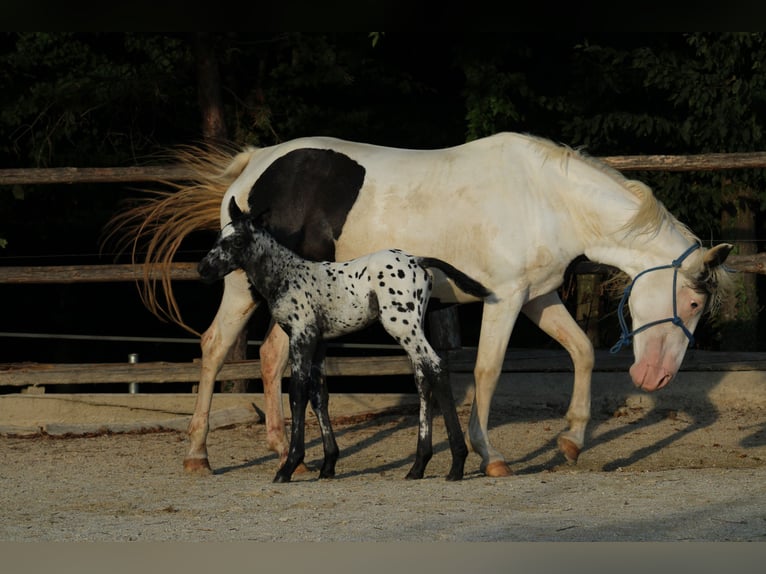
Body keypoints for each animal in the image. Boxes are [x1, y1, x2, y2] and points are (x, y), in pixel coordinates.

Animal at [198, 197, 495, 482]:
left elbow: (297, 393)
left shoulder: (302, 337)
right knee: (423, 379)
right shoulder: (320, 343)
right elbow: (319, 395)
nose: (203, 268)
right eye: (218, 236)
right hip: (413, 327)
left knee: (436, 367)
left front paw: (289, 467)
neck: (287, 276)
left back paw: (456, 465)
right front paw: (328, 465)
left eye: (237, 241)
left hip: (401, 325)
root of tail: (418, 260)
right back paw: (418, 467)